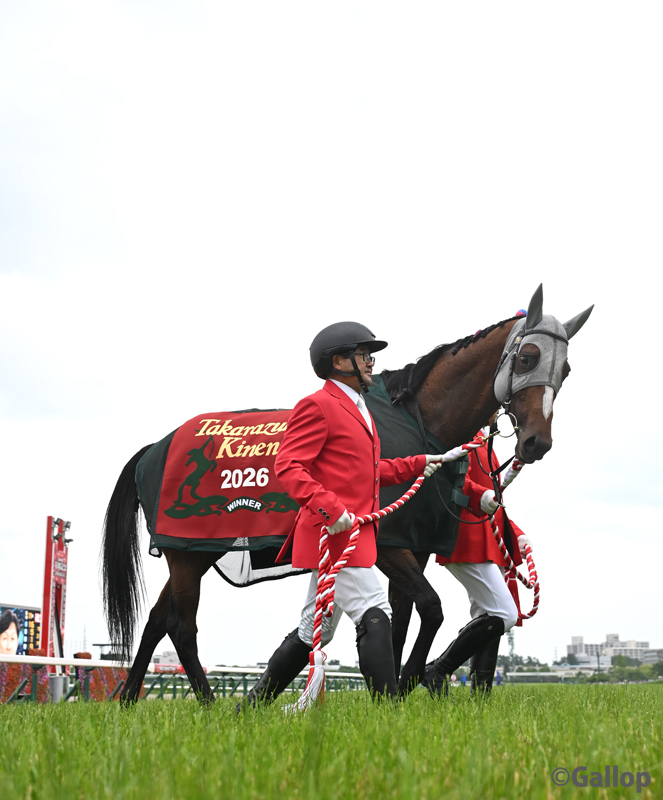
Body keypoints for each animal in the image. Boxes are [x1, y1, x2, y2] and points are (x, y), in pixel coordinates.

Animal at [102, 285, 592, 703]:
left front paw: (399, 685)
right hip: (189, 550)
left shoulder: (411, 546)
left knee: (156, 621)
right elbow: (429, 608)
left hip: (194, 553)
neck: (418, 420)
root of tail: (155, 447)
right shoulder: (387, 544)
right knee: (181, 626)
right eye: (527, 357)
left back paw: (128, 699)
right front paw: (408, 681)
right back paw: (205, 703)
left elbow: (406, 617)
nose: (537, 443)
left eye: (566, 369)